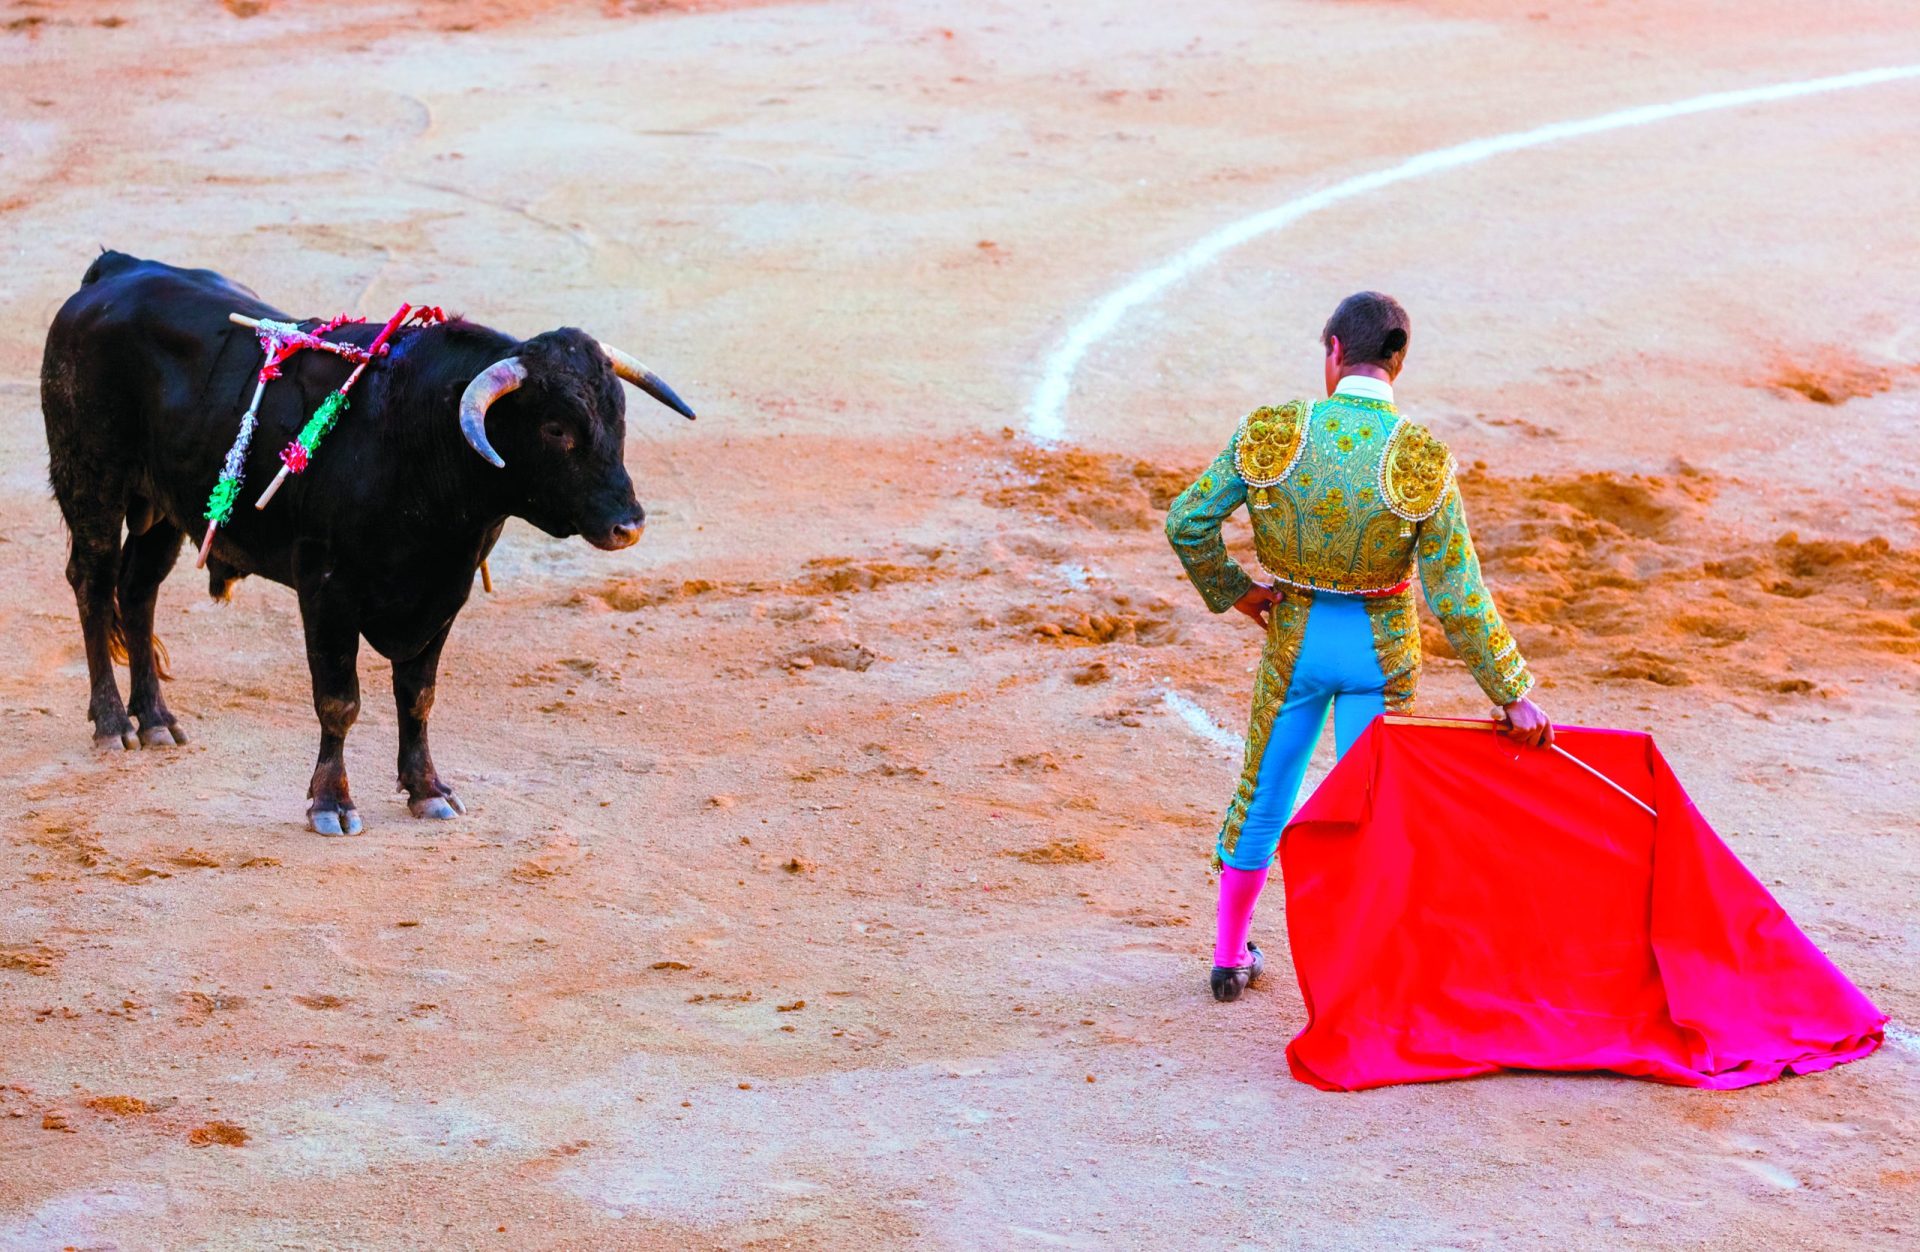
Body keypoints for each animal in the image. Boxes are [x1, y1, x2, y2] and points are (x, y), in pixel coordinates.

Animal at [43, 251, 698, 841]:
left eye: (617, 419)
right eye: (556, 429)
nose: (628, 525)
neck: (418, 435)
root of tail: (113, 270)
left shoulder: (444, 594)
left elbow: (418, 696)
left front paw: (428, 790)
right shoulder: (326, 591)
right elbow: (340, 701)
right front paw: (331, 804)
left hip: (164, 509)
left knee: (139, 591)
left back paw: (155, 720)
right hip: (91, 481)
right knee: (94, 584)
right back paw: (112, 724)